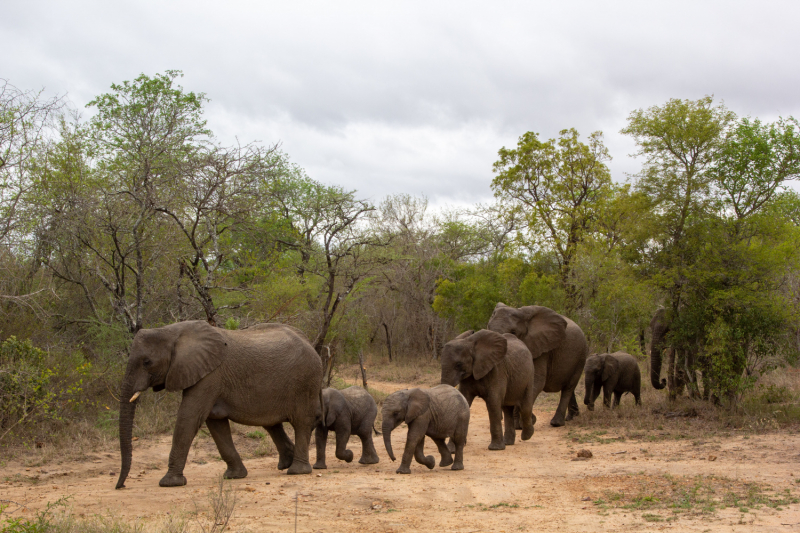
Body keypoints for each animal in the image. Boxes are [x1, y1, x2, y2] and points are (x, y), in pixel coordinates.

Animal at [115, 318, 322, 488]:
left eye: (147, 362)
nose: (121, 486)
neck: (171, 331)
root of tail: (309, 342)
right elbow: (215, 423)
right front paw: (234, 476)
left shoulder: (210, 375)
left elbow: (189, 417)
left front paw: (169, 483)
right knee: (271, 424)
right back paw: (286, 464)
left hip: (305, 383)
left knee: (301, 423)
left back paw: (296, 471)